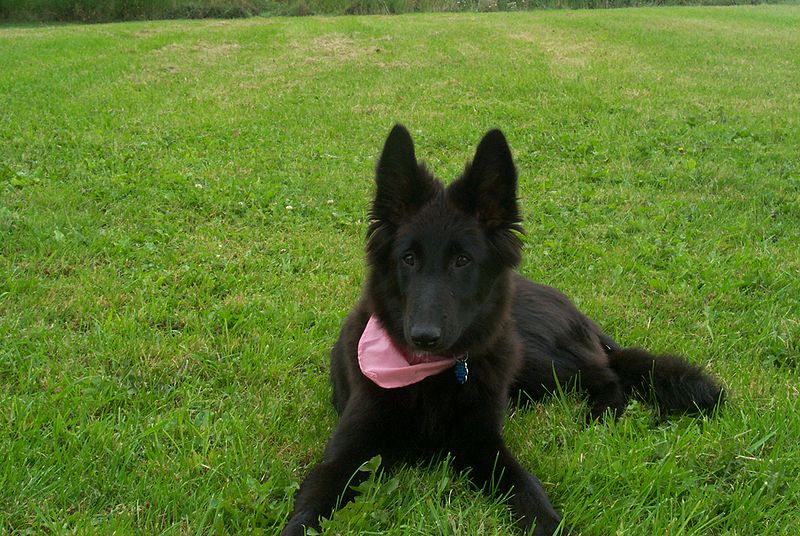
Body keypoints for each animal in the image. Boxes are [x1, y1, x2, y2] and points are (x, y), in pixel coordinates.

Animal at [282, 124, 724, 536]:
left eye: (462, 260)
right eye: (408, 258)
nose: (423, 337)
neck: (430, 379)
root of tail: (575, 312)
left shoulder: (485, 445)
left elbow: (527, 490)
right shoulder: (345, 453)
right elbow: (309, 507)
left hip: (536, 360)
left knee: (609, 376)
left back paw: (599, 416)